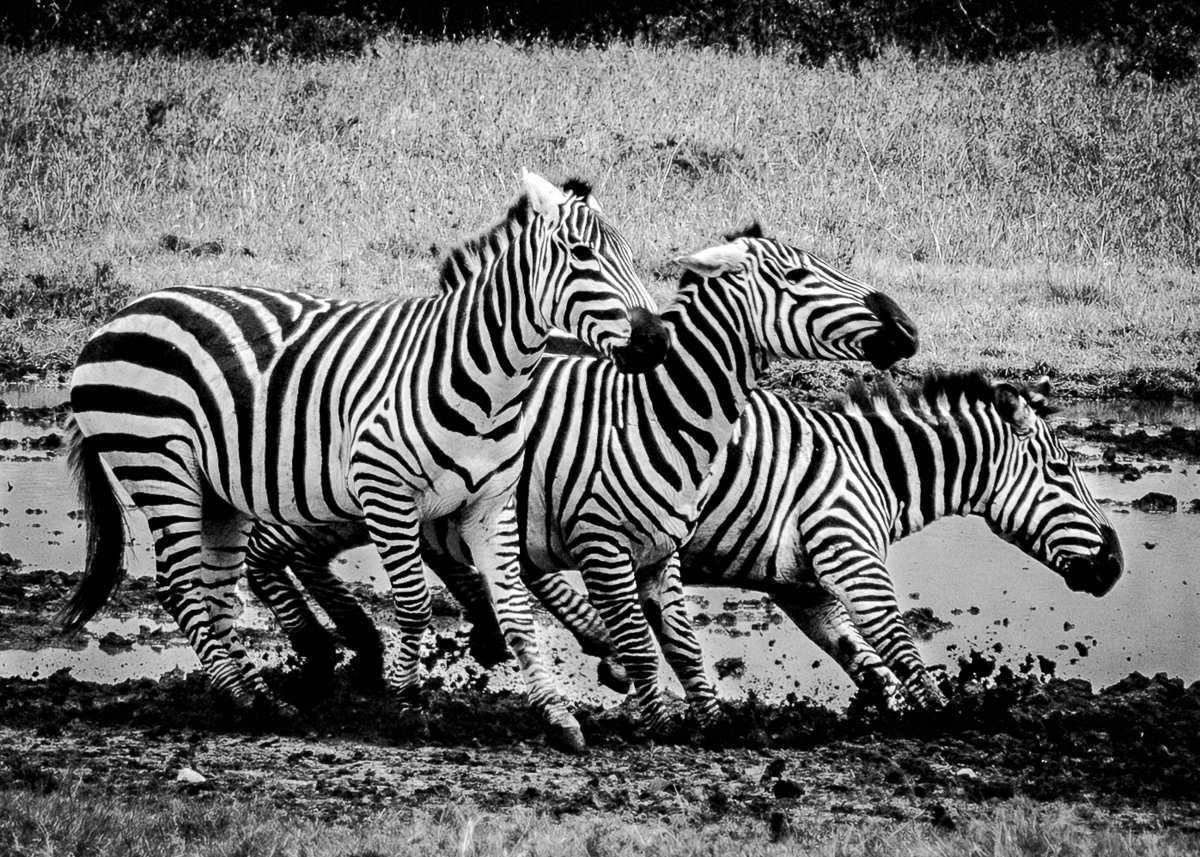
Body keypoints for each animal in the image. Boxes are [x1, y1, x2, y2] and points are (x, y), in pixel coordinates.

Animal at [57, 171, 668, 752]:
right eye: (580, 254)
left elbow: (516, 613)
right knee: (180, 590)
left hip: (217, 493)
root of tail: (121, 314)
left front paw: (558, 717)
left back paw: (262, 701)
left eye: (630, 254)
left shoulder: (490, 505)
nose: (657, 342)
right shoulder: (386, 493)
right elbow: (416, 606)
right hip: (159, 467)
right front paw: (408, 704)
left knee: (215, 593)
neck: (485, 381)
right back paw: (244, 698)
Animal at [238, 224, 920, 730]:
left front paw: (708, 721)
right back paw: (329, 650)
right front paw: (655, 719)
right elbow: (644, 639)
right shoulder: (600, 533)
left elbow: (682, 642)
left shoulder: (654, 545)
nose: (908, 329)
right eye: (798, 277)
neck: (652, 413)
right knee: (264, 549)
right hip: (331, 494)